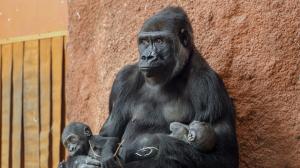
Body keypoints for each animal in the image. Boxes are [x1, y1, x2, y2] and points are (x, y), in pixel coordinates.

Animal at [80, 6, 239, 168]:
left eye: (159, 41)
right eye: (144, 41)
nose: (147, 57)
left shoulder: (209, 85)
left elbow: (223, 157)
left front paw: (156, 142)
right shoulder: (122, 80)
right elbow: (106, 135)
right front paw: (107, 149)